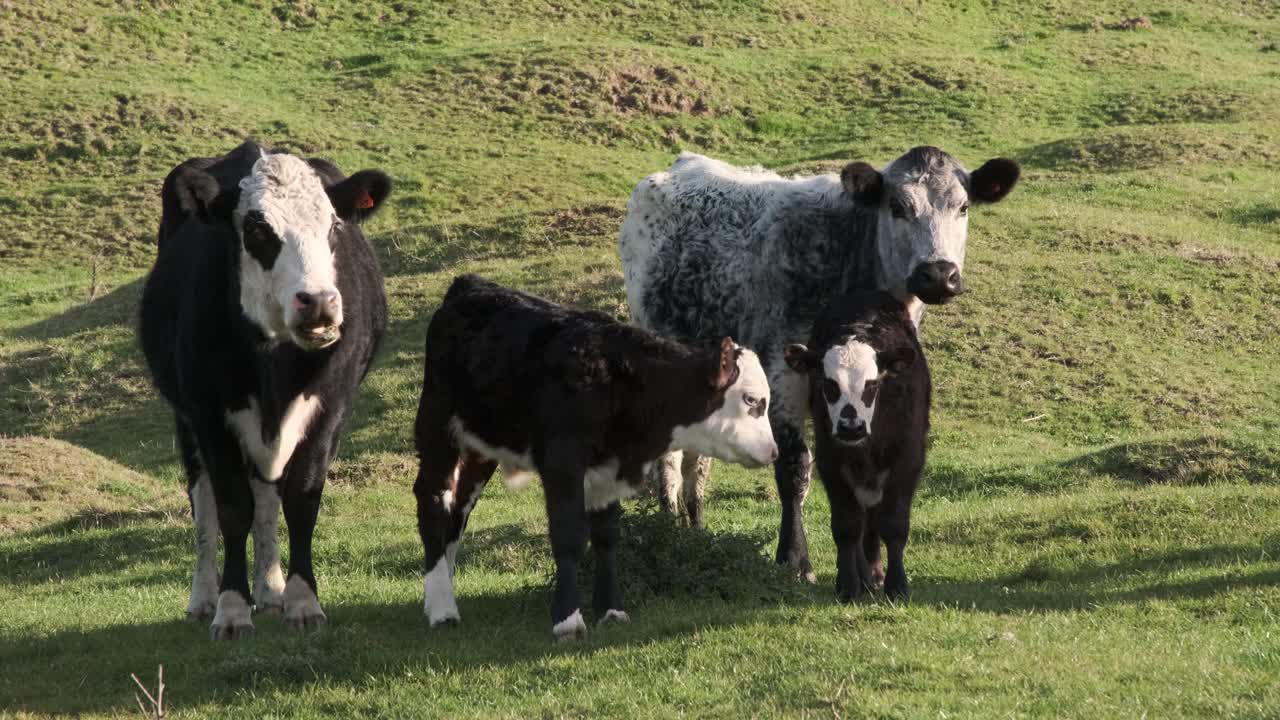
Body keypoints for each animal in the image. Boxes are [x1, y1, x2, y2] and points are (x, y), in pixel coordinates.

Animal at [139, 140, 391, 640]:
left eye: (333, 226)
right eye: (256, 229)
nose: (318, 302)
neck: (274, 360)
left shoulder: (331, 408)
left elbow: (300, 500)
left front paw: (302, 601)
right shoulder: (208, 412)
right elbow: (231, 507)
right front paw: (232, 609)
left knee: (268, 497)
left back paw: (271, 591)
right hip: (186, 422)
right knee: (203, 502)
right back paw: (203, 598)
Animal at [412, 275, 777, 640]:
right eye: (750, 400)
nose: (773, 451)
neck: (616, 383)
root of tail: (469, 285)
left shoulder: (608, 470)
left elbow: (606, 537)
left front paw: (611, 610)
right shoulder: (562, 465)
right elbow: (570, 535)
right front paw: (568, 620)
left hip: (481, 446)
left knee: (459, 508)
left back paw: (440, 592)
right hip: (438, 427)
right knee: (434, 501)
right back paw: (443, 609)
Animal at [784, 291, 928, 601]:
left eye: (872, 384)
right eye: (829, 384)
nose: (851, 427)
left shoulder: (907, 460)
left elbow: (894, 525)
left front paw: (897, 585)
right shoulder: (832, 465)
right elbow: (847, 527)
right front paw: (849, 584)